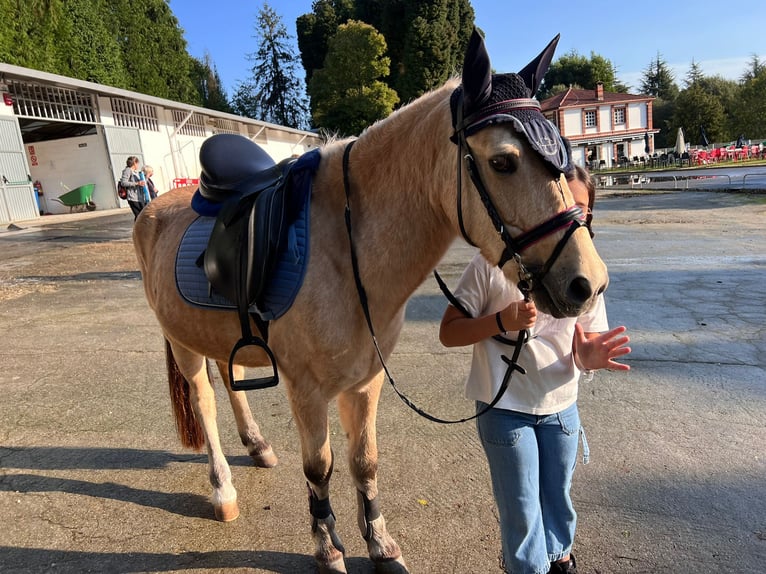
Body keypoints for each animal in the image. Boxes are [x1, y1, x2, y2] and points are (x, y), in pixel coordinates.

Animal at [134, 31, 612, 574]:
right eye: (503, 162)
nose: (588, 283)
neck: (345, 252)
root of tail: (153, 206)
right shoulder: (306, 390)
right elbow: (319, 468)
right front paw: (327, 547)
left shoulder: (365, 380)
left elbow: (365, 462)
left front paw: (380, 544)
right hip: (183, 346)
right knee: (205, 403)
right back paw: (222, 490)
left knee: (229, 380)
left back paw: (256, 445)